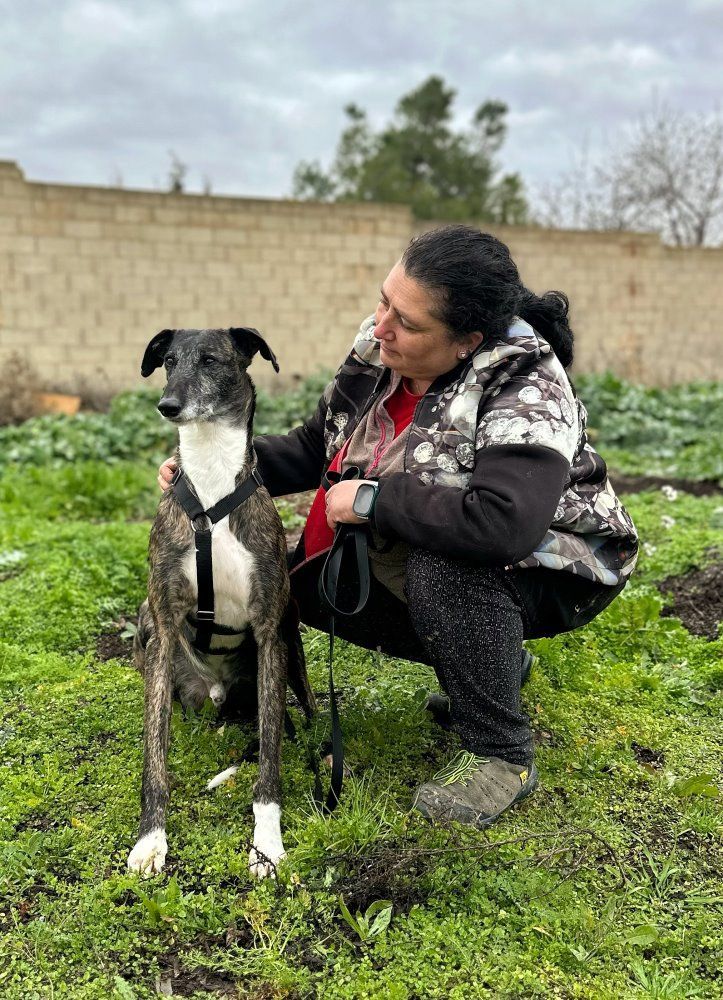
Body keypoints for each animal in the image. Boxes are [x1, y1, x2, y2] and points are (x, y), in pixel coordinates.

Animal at [127, 327, 315, 879]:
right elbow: (155, 755)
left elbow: (271, 757)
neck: (211, 493)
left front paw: (267, 842)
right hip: (149, 630)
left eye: (211, 360)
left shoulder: (270, 630)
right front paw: (151, 840)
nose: (167, 405)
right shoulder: (164, 624)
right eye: (168, 361)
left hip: (291, 638)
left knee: (296, 717)